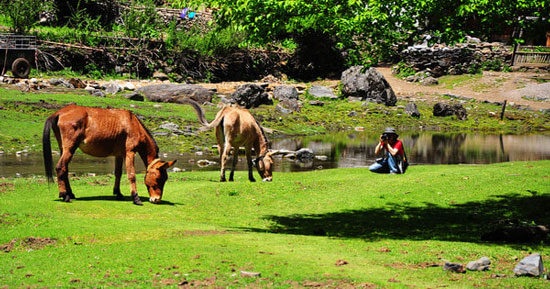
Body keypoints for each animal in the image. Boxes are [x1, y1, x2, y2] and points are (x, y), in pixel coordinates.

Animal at [43, 104, 177, 205]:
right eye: (159, 179)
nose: (156, 199)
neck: (133, 123)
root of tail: (60, 112)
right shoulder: (130, 152)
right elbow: (131, 175)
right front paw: (136, 198)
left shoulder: (119, 155)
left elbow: (118, 173)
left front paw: (118, 193)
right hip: (70, 148)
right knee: (60, 167)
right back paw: (64, 195)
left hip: (64, 149)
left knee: (65, 169)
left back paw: (70, 193)